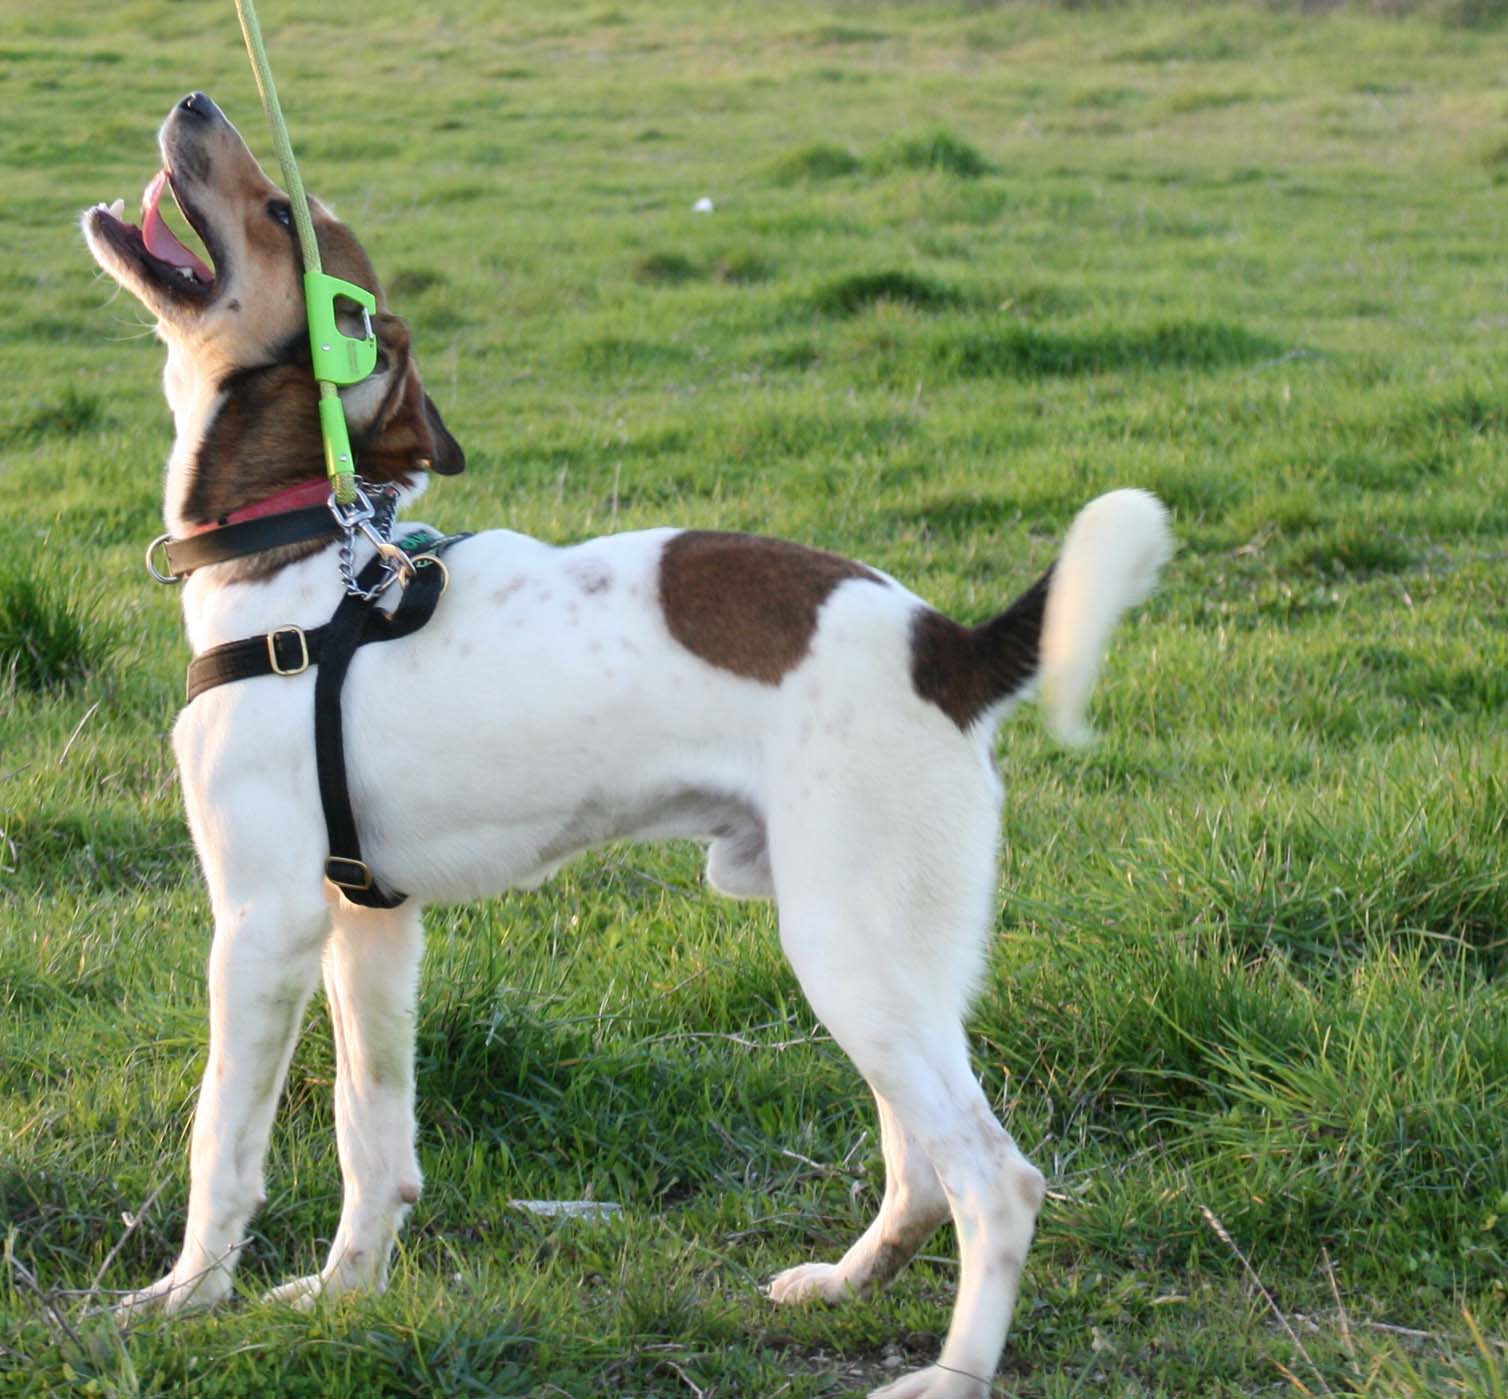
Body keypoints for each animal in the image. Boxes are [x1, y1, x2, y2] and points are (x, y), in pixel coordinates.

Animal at [83, 91, 1171, 1399]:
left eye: (282, 213)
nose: (195, 103)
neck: (297, 555)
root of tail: (946, 646)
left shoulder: (262, 922)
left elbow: (221, 1138)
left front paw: (187, 1296)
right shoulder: (369, 922)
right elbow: (370, 1132)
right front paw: (344, 1294)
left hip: (847, 948)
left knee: (994, 1179)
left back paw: (951, 1374)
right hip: (883, 959)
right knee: (921, 1166)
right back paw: (844, 1282)